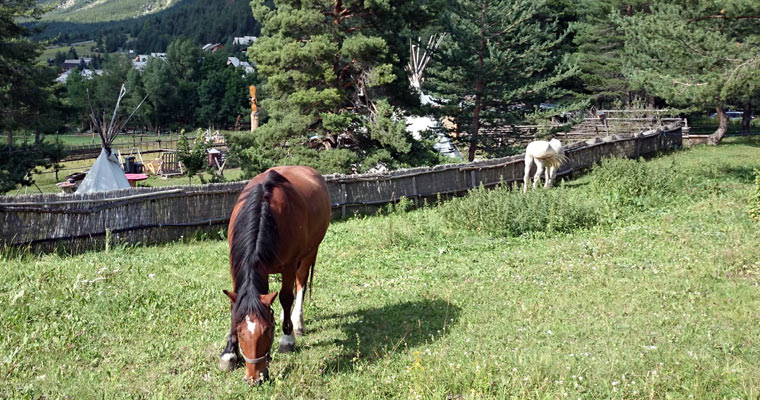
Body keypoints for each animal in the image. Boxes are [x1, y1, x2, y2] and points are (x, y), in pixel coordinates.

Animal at [217, 165, 330, 384]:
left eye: (268, 331)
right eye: (240, 331)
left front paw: (287, 339)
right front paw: (229, 353)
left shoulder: (289, 265)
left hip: (310, 252)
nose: (255, 377)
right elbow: (235, 306)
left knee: (301, 284)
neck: (265, 214)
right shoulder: (236, 266)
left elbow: (286, 298)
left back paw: (297, 323)